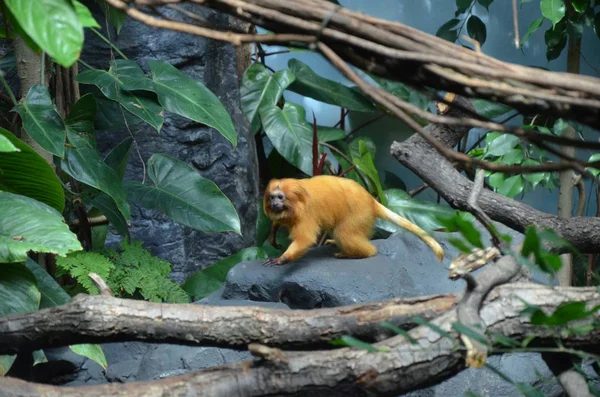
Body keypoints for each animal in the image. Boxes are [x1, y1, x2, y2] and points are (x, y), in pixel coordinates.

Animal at [264, 174, 446, 264]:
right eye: (272, 197)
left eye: (280, 197)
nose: (274, 203)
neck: (295, 203)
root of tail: (371, 200)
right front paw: (273, 232)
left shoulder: (307, 215)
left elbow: (306, 239)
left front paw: (282, 259)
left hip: (360, 214)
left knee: (344, 232)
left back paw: (358, 253)